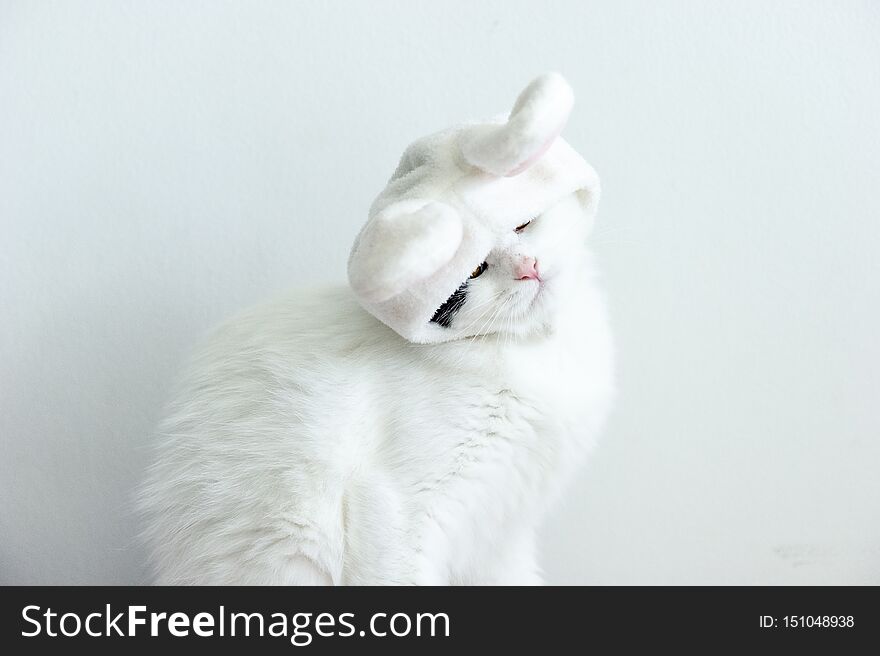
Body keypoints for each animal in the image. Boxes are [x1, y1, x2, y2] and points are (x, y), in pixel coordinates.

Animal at [141, 72, 616, 584]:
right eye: (474, 270)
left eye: (524, 224)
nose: (528, 267)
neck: (538, 350)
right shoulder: (399, 503)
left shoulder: (499, 536)